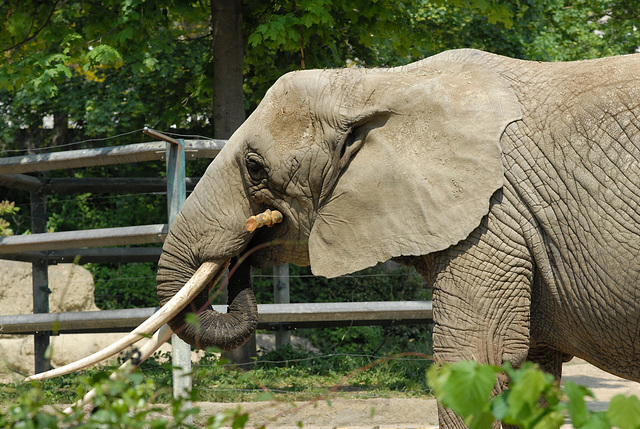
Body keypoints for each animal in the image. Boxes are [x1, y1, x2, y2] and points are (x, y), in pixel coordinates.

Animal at [30, 48, 640, 426]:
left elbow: (477, 360)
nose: (246, 245)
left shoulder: (494, 219)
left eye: (255, 168)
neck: (383, 81)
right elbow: (530, 372)